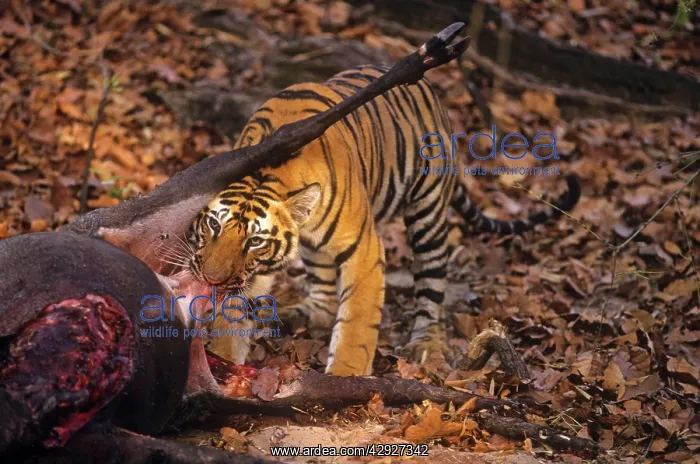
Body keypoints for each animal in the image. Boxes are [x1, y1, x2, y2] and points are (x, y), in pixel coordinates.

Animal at [184, 64, 580, 376]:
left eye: (255, 241)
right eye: (214, 226)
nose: (212, 279)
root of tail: (433, 95)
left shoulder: (363, 248)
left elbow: (357, 321)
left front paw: (343, 379)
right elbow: (232, 312)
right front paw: (221, 360)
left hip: (427, 211)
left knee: (431, 282)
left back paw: (426, 343)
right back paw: (307, 312)